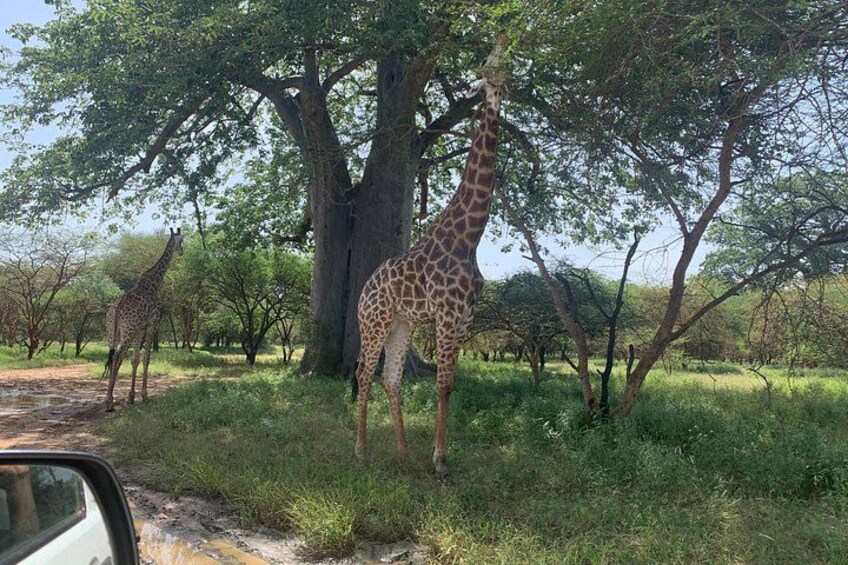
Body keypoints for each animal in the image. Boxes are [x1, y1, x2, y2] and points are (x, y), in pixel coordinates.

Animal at [103, 228, 185, 412]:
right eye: (182, 241)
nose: (182, 251)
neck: (154, 284)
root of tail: (116, 309)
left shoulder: (140, 329)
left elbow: (135, 359)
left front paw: (131, 397)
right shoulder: (153, 324)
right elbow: (146, 358)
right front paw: (145, 396)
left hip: (113, 331)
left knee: (113, 357)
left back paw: (109, 398)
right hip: (127, 331)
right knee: (117, 356)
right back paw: (109, 401)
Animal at [354, 38, 507, 479]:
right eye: (486, 62)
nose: (499, 80)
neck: (469, 236)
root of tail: (363, 290)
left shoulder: (465, 315)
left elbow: (450, 384)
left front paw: (435, 456)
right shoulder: (447, 312)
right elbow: (442, 384)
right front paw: (439, 461)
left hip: (401, 322)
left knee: (390, 378)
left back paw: (403, 453)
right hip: (374, 321)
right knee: (363, 372)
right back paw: (361, 450)